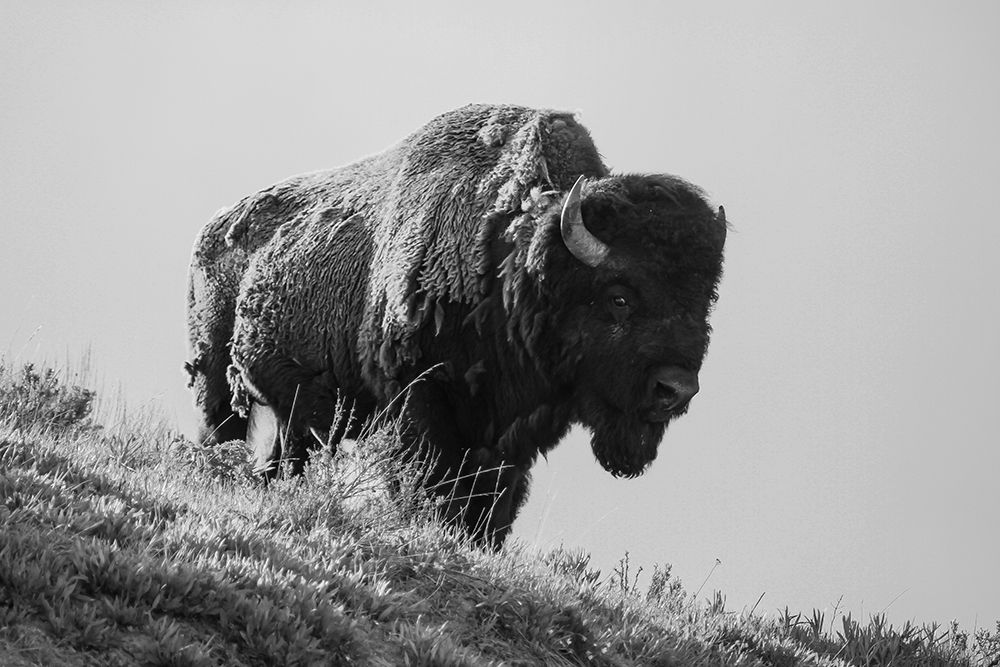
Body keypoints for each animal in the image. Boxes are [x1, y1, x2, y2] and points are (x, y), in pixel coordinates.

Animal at [186, 104, 726, 547]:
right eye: (619, 297)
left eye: (704, 305)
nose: (676, 389)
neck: (512, 260)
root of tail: (212, 230)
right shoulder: (419, 399)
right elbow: (429, 480)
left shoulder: (510, 440)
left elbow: (493, 506)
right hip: (216, 380)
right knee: (223, 430)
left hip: (293, 411)